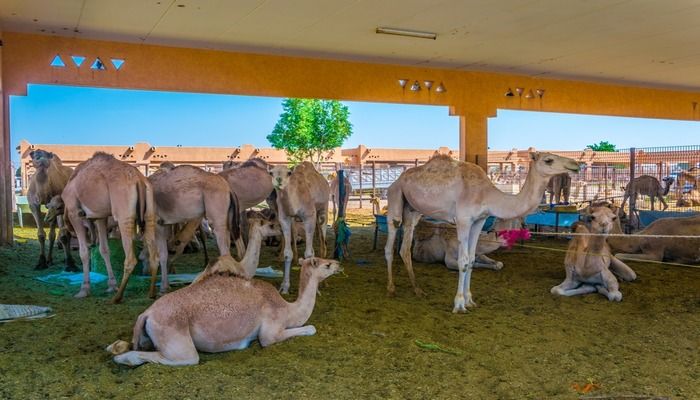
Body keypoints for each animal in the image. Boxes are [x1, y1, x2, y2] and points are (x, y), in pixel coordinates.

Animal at [61, 152, 159, 302]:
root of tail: (139, 180)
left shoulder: (74, 212)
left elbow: (84, 252)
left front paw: (84, 290)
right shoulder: (101, 217)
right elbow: (104, 249)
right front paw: (112, 285)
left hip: (124, 214)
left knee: (131, 259)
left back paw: (116, 298)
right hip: (149, 214)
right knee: (154, 255)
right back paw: (151, 293)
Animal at [107, 257, 341, 367]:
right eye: (326, 265)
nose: (339, 263)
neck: (288, 308)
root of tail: (147, 314)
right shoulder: (270, 331)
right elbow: (309, 328)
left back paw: (115, 348)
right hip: (177, 338)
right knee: (185, 358)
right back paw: (124, 359)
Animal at [146, 165, 242, 294]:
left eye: (174, 251)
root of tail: (229, 189)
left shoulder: (155, 222)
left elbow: (157, 254)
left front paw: (158, 290)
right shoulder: (163, 224)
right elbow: (163, 254)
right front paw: (165, 287)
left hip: (217, 216)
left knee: (224, 248)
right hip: (228, 217)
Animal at [269, 162, 330, 294]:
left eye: (288, 173)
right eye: (271, 173)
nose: (279, 180)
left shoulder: (309, 217)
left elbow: (309, 254)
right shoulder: (285, 218)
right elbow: (288, 253)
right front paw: (284, 287)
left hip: (323, 210)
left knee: (323, 243)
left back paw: (324, 282)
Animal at [385, 152, 580, 313]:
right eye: (548, 160)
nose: (576, 164)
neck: (487, 195)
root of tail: (397, 180)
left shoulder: (479, 220)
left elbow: (472, 259)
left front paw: (470, 301)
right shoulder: (463, 219)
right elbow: (463, 260)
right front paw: (459, 304)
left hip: (413, 210)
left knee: (405, 247)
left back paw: (418, 289)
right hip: (395, 198)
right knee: (390, 242)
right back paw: (391, 288)